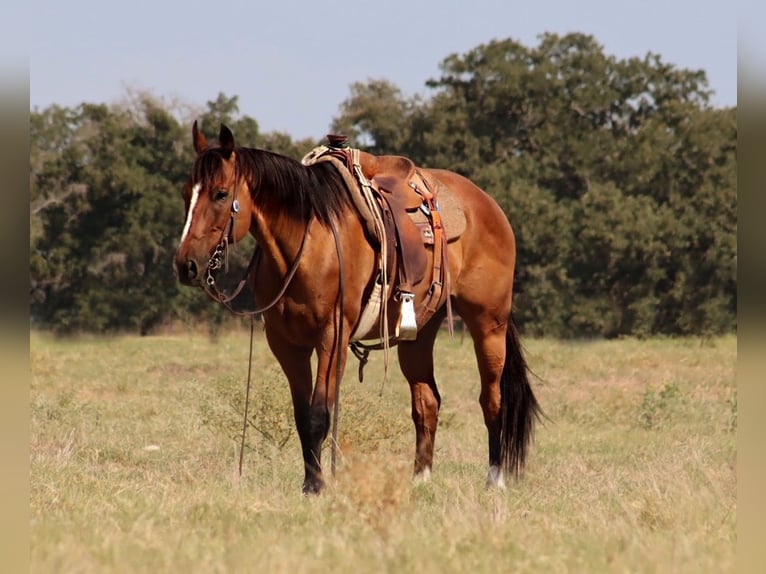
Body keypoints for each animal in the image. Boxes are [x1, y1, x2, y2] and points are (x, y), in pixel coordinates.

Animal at [174, 124, 540, 498]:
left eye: (220, 194)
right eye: (188, 192)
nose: (186, 265)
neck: (309, 243)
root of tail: (489, 205)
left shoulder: (332, 337)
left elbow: (319, 414)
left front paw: (316, 487)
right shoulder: (286, 344)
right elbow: (302, 417)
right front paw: (310, 481)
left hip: (489, 325)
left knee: (492, 401)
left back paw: (494, 479)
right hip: (419, 335)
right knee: (427, 403)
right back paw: (420, 479)